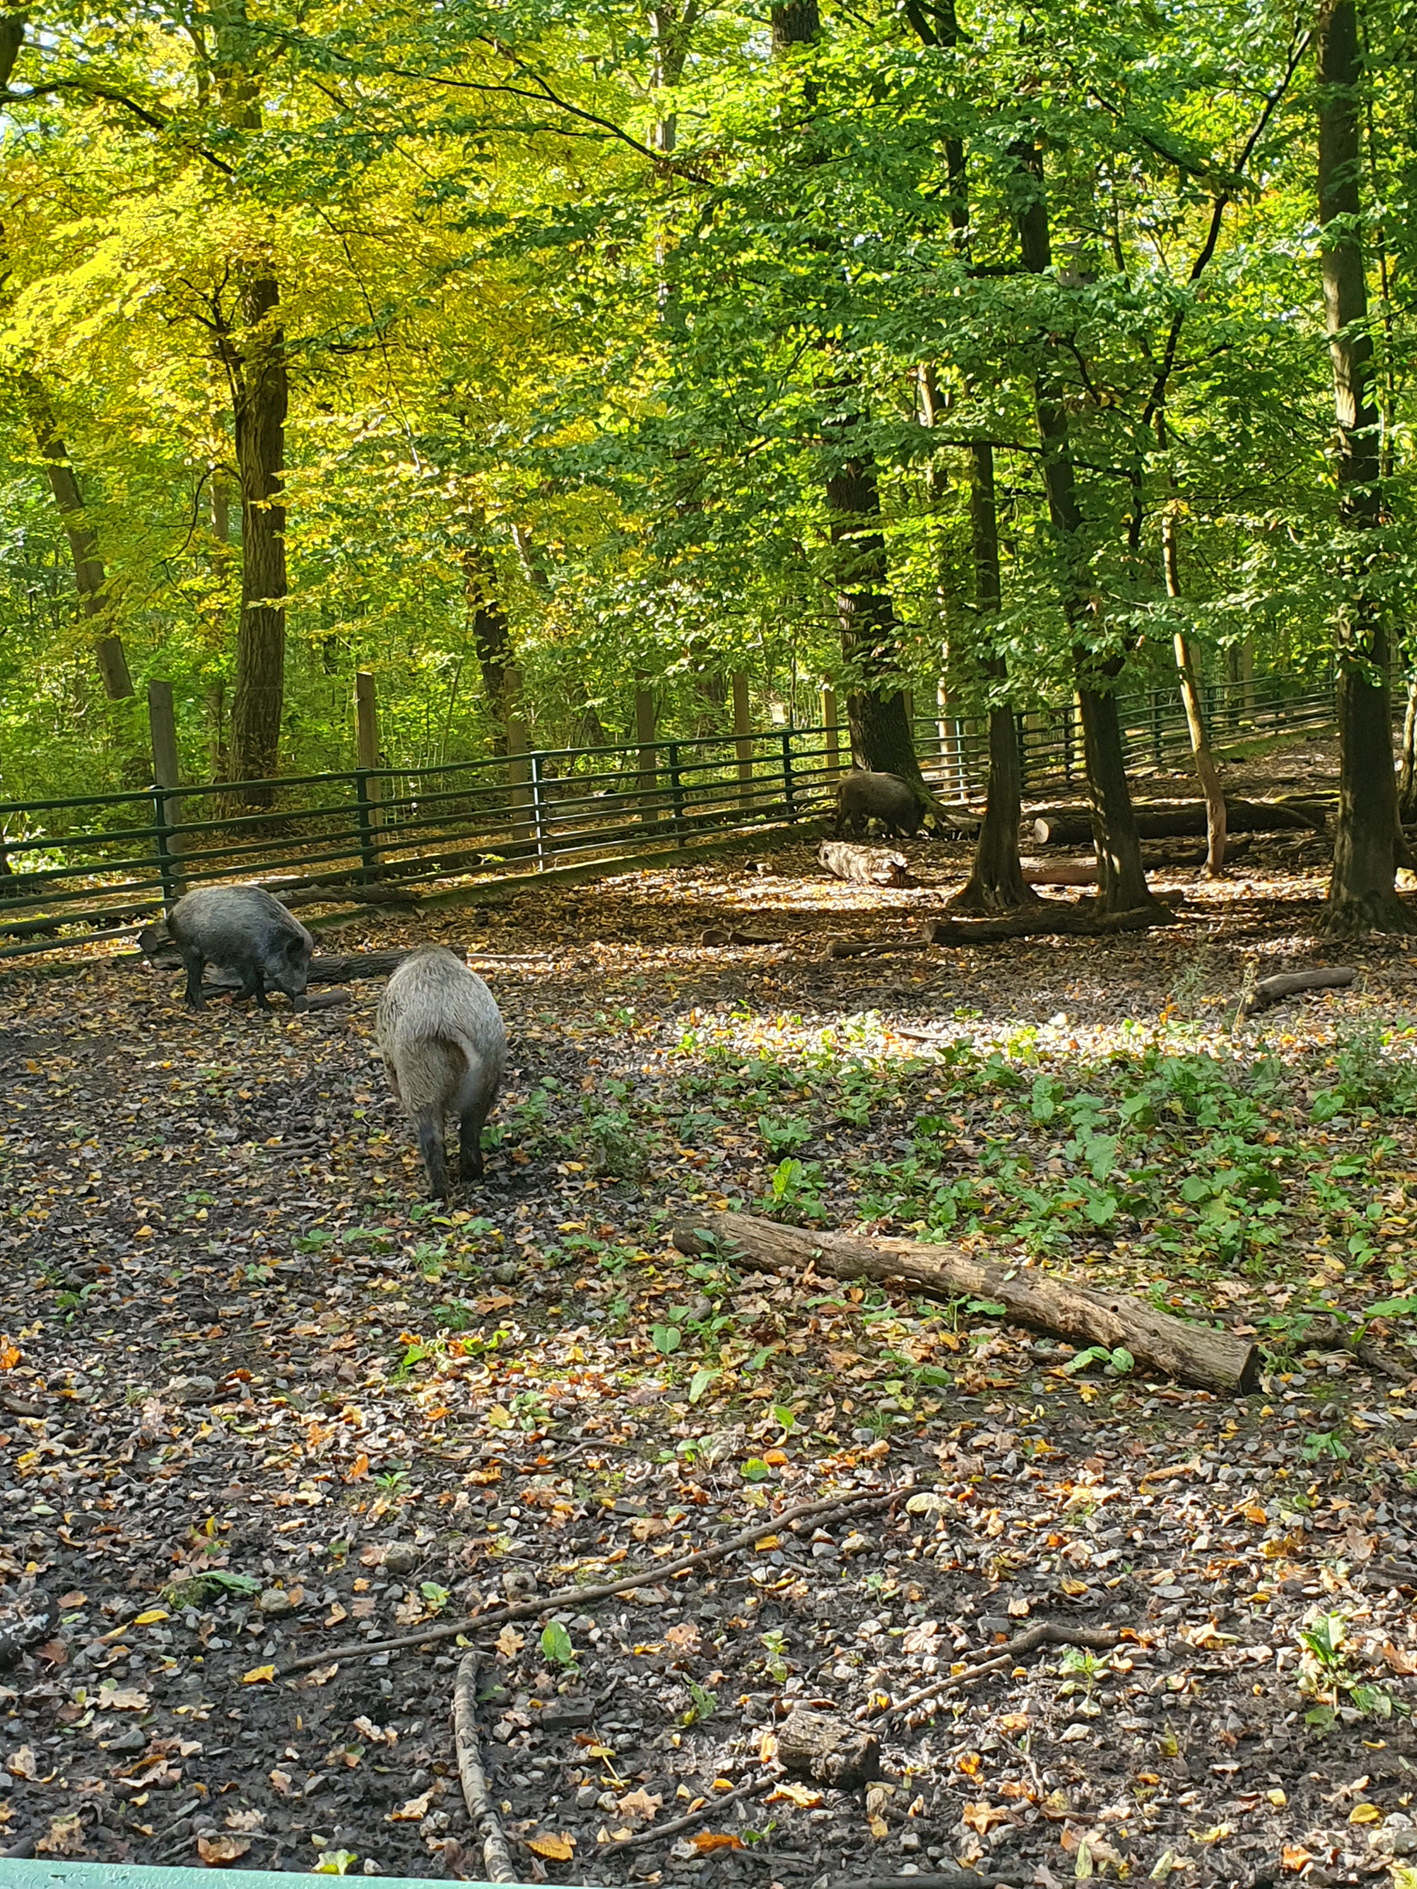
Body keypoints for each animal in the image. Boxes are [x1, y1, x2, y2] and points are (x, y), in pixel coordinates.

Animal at [167, 884, 313, 1011]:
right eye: (295, 964)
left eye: (307, 965)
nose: (303, 993)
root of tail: (172, 912)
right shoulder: (242, 959)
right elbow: (253, 982)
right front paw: (236, 997)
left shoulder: (258, 965)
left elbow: (260, 986)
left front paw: (269, 1009)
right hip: (191, 949)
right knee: (195, 981)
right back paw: (205, 1009)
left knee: (190, 979)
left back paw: (191, 1005)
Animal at [376, 946, 507, 1198]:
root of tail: (446, 1020)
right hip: (490, 1064)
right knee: (471, 1127)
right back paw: (472, 1174)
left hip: (417, 1071)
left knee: (430, 1135)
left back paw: (438, 1193)